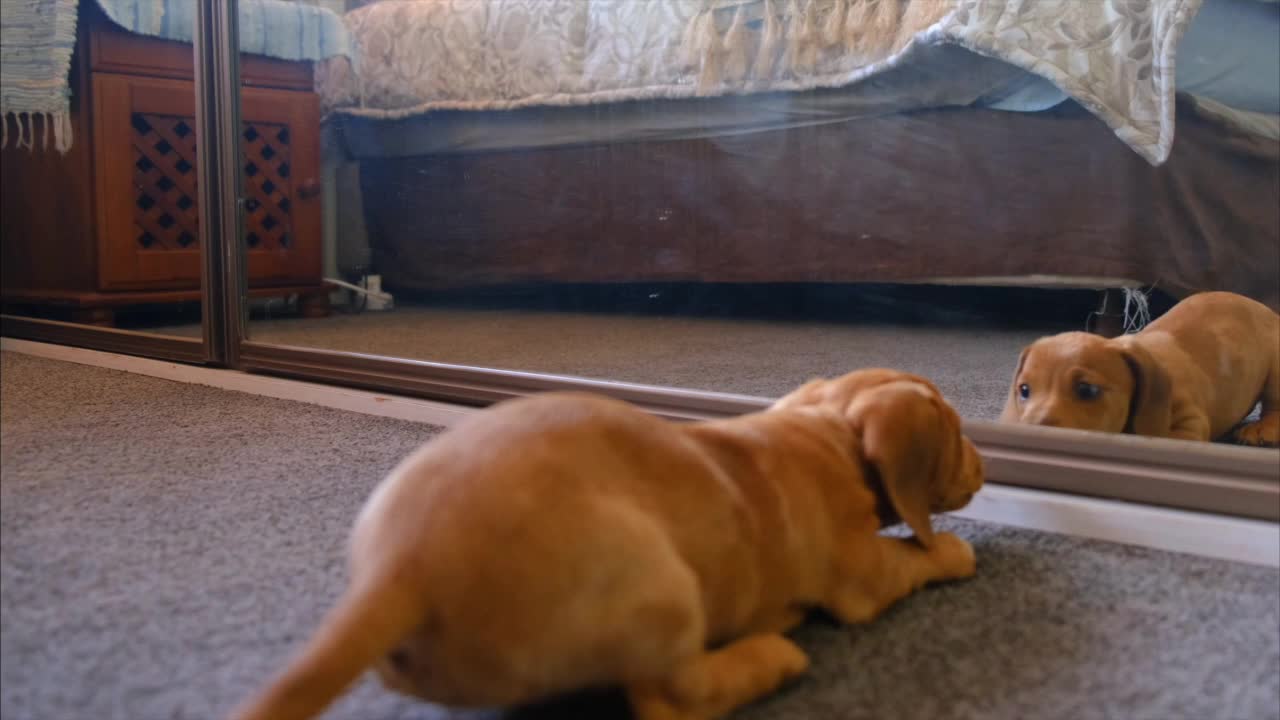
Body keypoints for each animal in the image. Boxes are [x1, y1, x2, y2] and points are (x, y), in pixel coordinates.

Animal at [235, 368, 983, 717]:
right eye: (953, 430)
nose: (984, 464)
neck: (828, 434)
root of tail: (401, 568)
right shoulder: (864, 576)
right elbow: (914, 556)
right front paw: (954, 551)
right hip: (663, 589)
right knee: (670, 699)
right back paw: (771, 657)